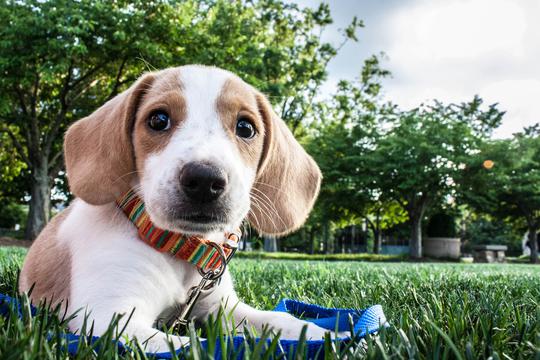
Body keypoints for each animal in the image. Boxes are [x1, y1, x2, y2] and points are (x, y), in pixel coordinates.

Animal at [20, 64, 324, 352]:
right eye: (158, 119)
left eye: (246, 128)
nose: (205, 181)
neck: (179, 249)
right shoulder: (109, 318)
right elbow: (199, 345)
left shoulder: (222, 309)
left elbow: (279, 320)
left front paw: (326, 334)